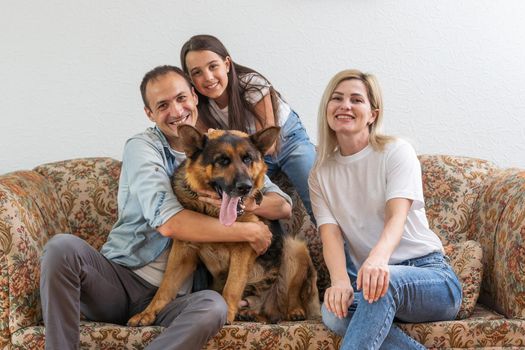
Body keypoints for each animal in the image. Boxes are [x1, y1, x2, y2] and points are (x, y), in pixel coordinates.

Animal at [128, 124, 320, 324]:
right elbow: (165, 286)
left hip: (295, 248)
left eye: (247, 159)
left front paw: (227, 312)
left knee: (289, 297)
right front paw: (147, 313)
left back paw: (293, 310)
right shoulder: (183, 251)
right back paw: (251, 313)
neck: (214, 214)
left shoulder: (244, 248)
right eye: (222, 160)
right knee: (266, 314)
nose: (245, 187)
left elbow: (232, 285)